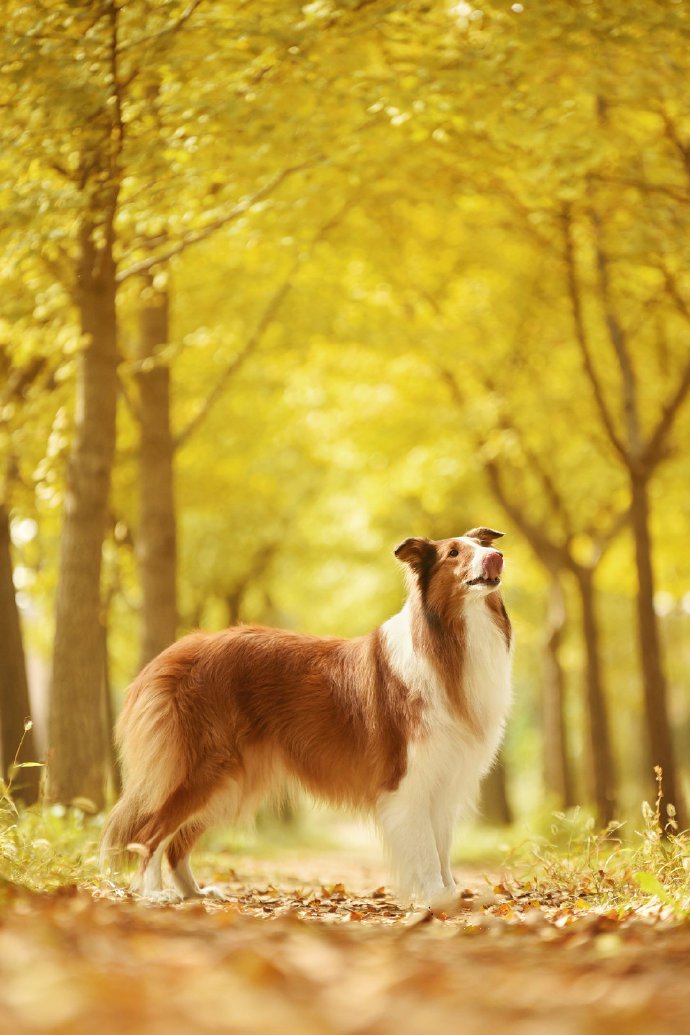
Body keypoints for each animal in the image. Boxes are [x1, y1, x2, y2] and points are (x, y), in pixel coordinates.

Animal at [102, 525, 513, 906]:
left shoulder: (445, 779)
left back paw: (195, 893)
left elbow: (442, 850)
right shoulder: (408, 779)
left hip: (230, 779)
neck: (449, 639)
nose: (497, 557)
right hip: (205, 766)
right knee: (151, 833)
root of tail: (173, 653)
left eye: (483, 545)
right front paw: (435, 898)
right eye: (454, 552)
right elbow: (425, 850)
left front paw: (453, 893)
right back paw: (154, 894)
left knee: (177, 843)